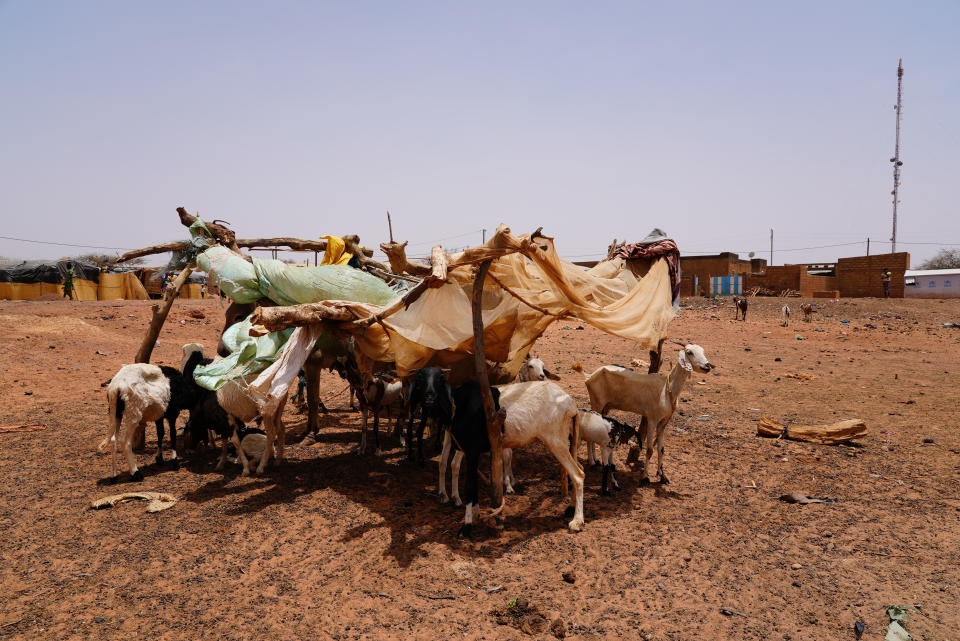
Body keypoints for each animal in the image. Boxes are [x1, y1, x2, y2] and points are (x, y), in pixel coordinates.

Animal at [576, 342, 712, 482]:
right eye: (689, 352)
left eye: (702, 351)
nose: (707, 366)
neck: (666, 389)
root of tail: (590, 376)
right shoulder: (652, 418)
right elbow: (650, 450)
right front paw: (645, 476)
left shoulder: (663, 422)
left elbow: (661, 449)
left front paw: (663, 476)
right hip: (596, 403)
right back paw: (592, 462)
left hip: (606, 408)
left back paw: (596, 460)